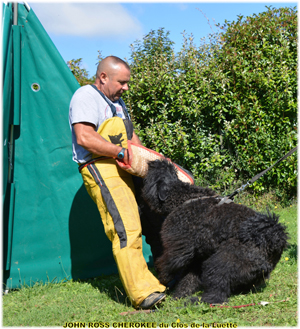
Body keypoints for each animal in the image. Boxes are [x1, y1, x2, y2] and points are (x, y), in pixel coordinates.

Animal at [141, 158, 288, 302]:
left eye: (151, 175)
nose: (148, 163)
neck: (183, 197)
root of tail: (271, 241)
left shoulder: (178, 249)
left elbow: (167, 264)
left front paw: (163, 279)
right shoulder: (198, 257)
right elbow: (188, 279)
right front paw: (179, 294)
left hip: (220, 262)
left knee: (217, 294)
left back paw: (196, 300)